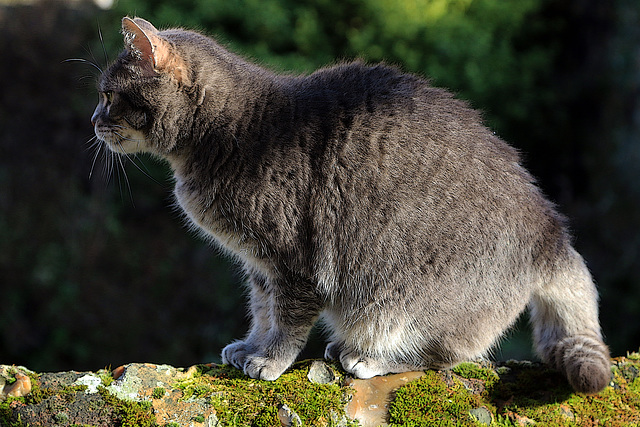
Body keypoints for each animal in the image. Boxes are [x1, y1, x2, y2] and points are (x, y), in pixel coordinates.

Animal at [90, 16, 608, 396]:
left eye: (108, 95)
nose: (93, 120)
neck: (229, 133)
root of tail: (549, 226)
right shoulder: (258, 264)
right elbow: (261, 309)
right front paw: (250, 347)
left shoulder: (294, 263)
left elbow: (286, 320)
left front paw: (269, 359)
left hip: (408, 300)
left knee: (447, 353)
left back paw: (366, 356)